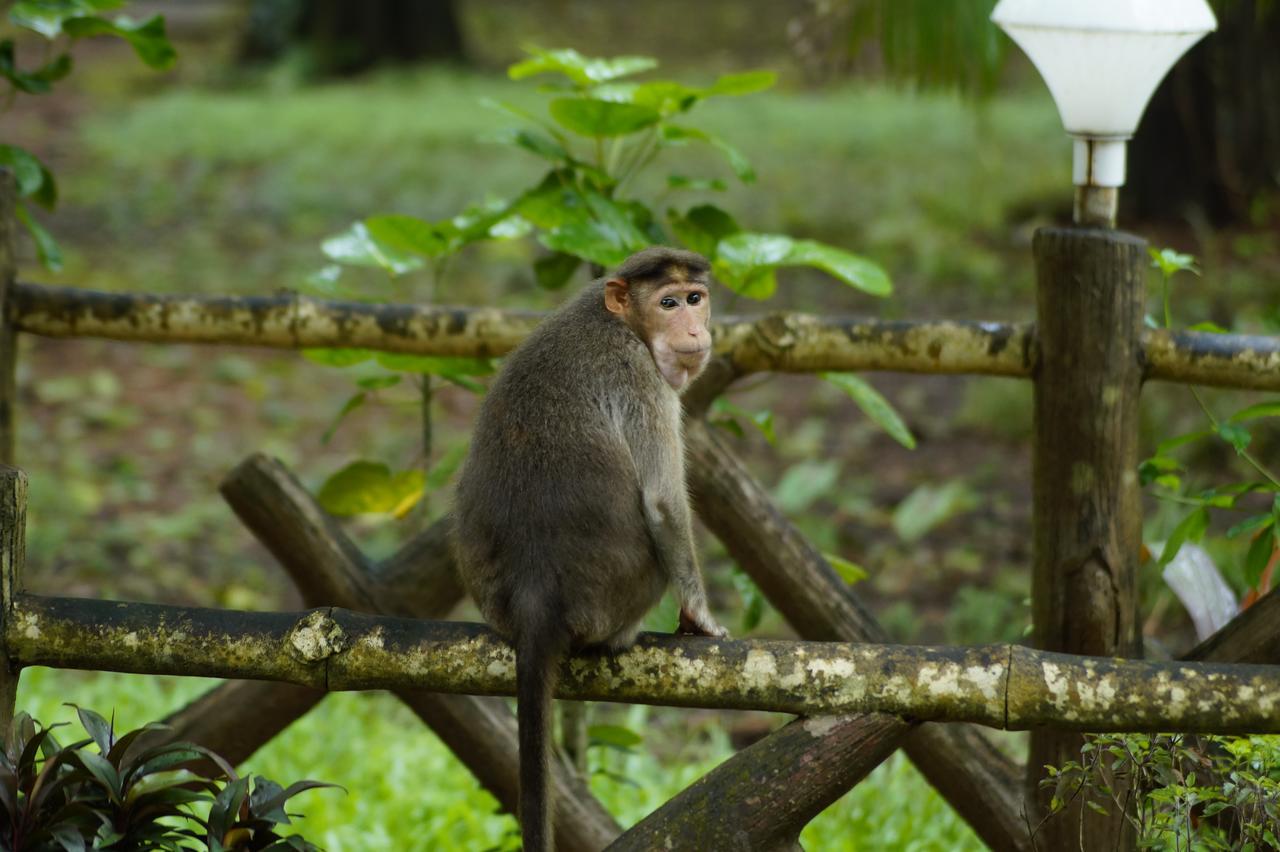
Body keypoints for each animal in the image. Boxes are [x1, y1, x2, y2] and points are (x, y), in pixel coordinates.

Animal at [455, 241, 727, 844]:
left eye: (695, 298)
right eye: (668, 302)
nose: (694, 328)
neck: (621, 321)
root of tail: (535, 597)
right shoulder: (641, 376)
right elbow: (663, 502)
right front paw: (699, 614)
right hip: (616, 596)